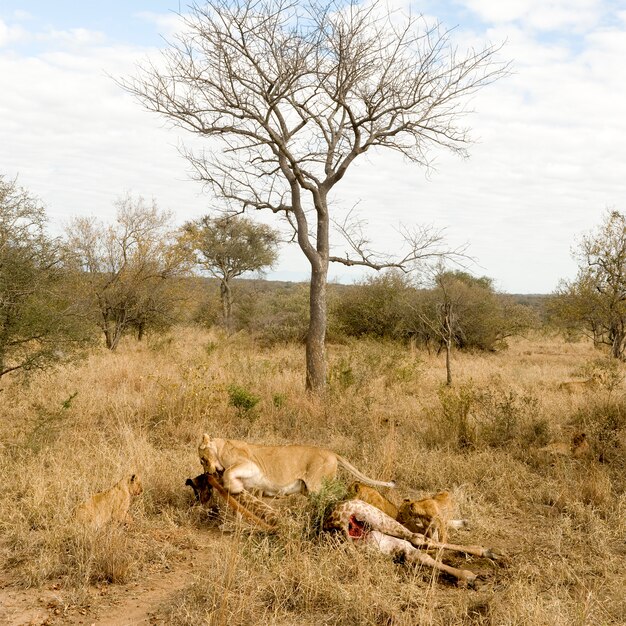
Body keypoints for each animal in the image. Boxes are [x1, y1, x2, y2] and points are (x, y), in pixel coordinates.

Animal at [197, 432, 392, 494]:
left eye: (202, 460)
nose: (207, 473)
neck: (220, 447)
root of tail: (333, 453)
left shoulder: (251, 465)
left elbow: (228, 472)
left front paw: (235, 487)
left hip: (317, 486)